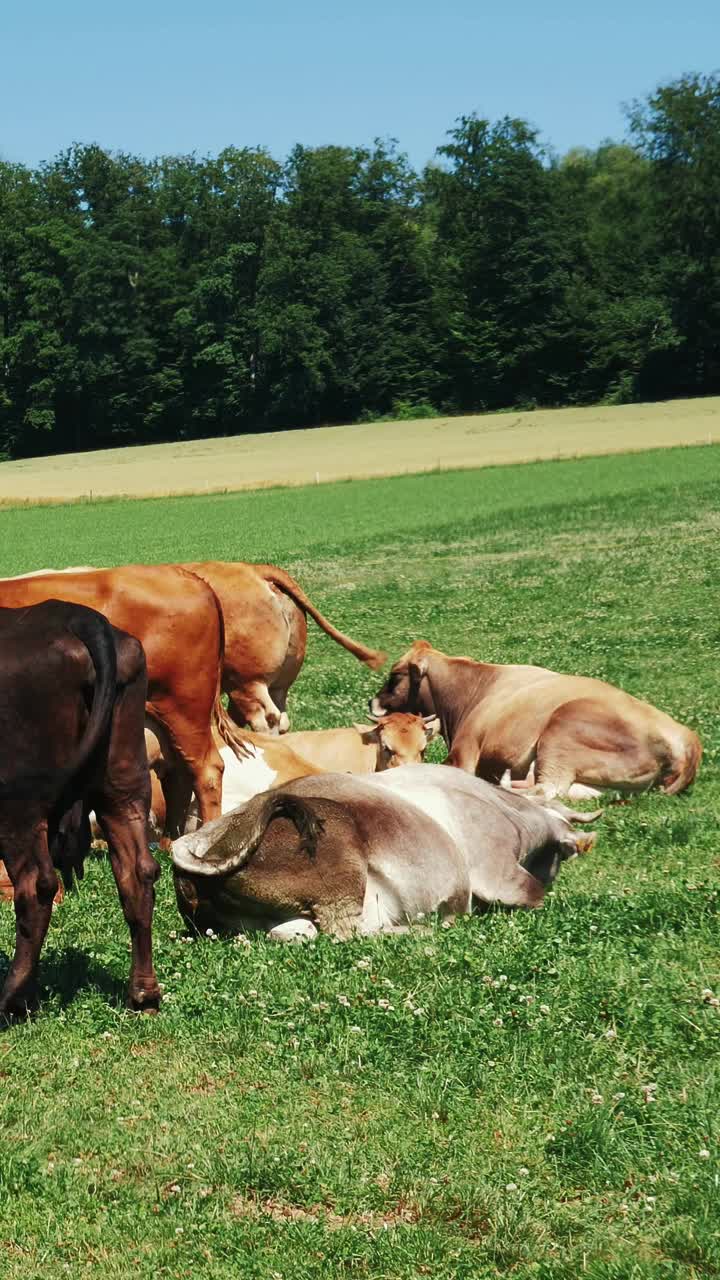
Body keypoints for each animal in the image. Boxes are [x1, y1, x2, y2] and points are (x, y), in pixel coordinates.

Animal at [0, 601, 158, 1018]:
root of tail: (72, 614)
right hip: (124, 781)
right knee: (138, 871)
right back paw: (144, 995)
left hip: (16, 804)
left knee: (36, 887)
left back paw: (11, 999)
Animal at [368, 640, 702, 798]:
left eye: (395, 675)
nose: (372, 701)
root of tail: (686, 738)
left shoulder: (463, 753)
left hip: (562, 733)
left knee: (546, 789)